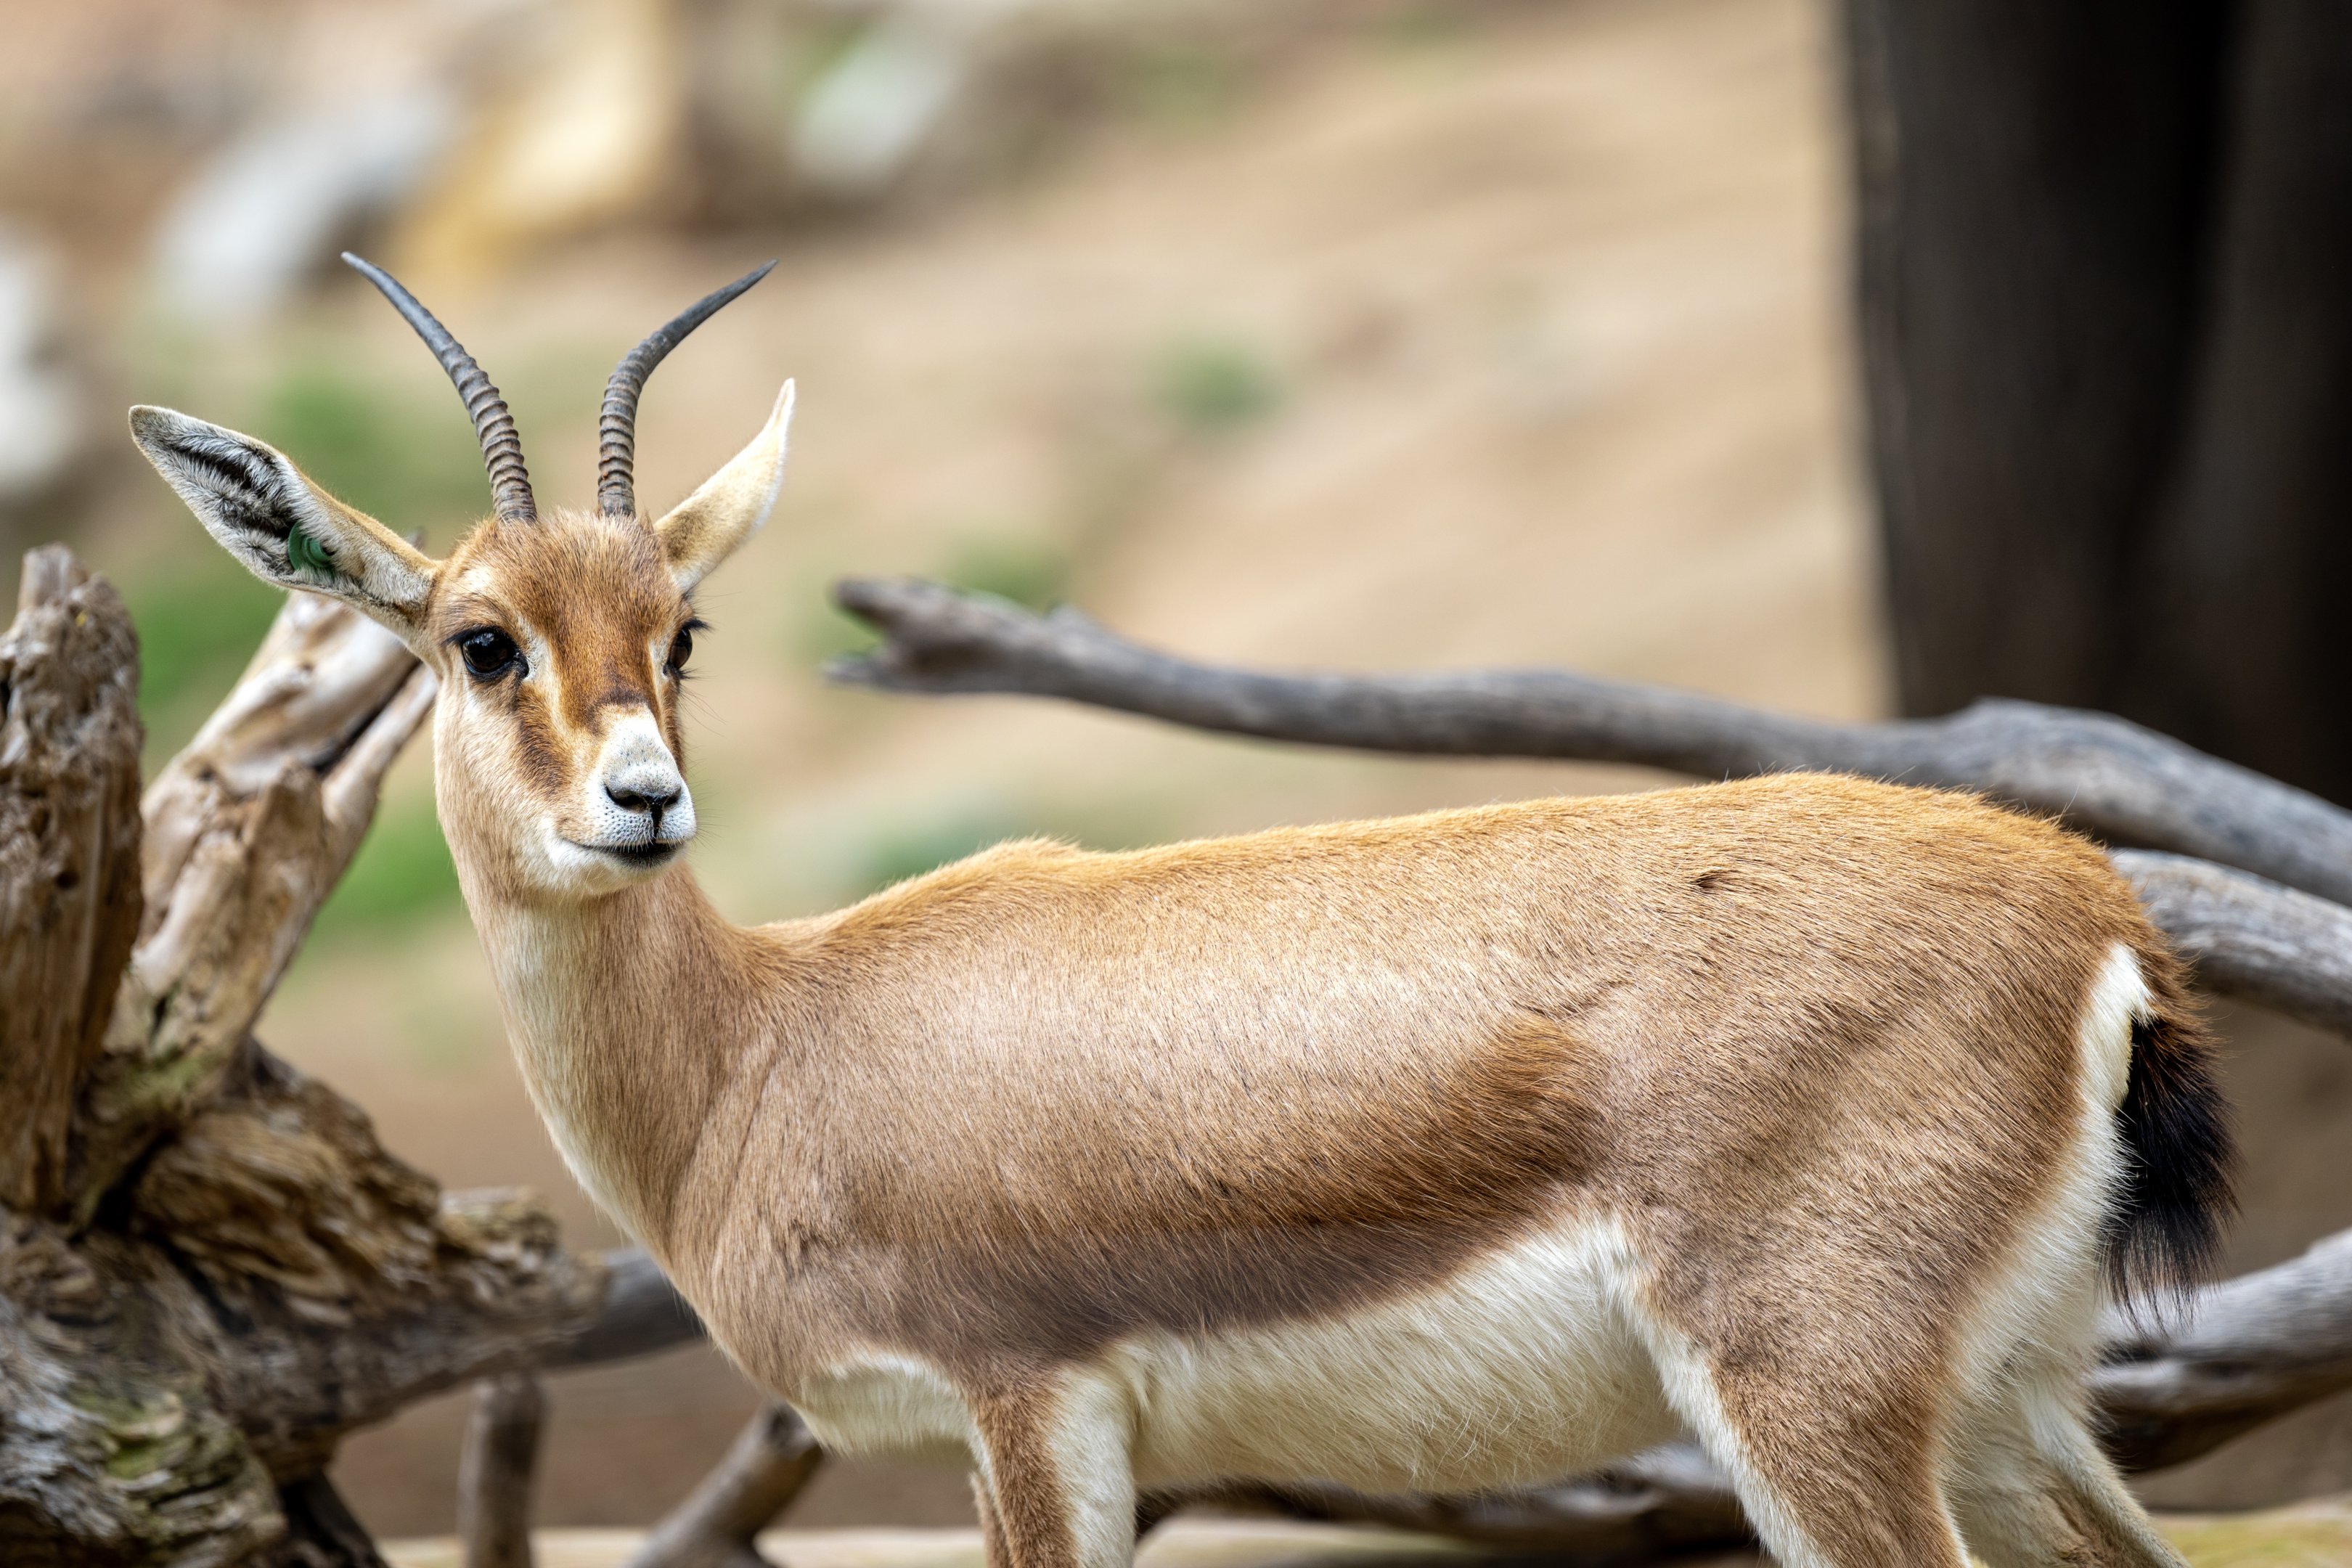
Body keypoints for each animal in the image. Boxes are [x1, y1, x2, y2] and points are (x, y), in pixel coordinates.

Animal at [131, 256, 2233, 1568]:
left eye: (680, 630)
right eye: (482, 640)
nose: (643, 802)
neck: (767, 1044)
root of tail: (2093, 912)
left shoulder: (1029, 1410)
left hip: (1815, 1402)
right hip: (2010, 1404)